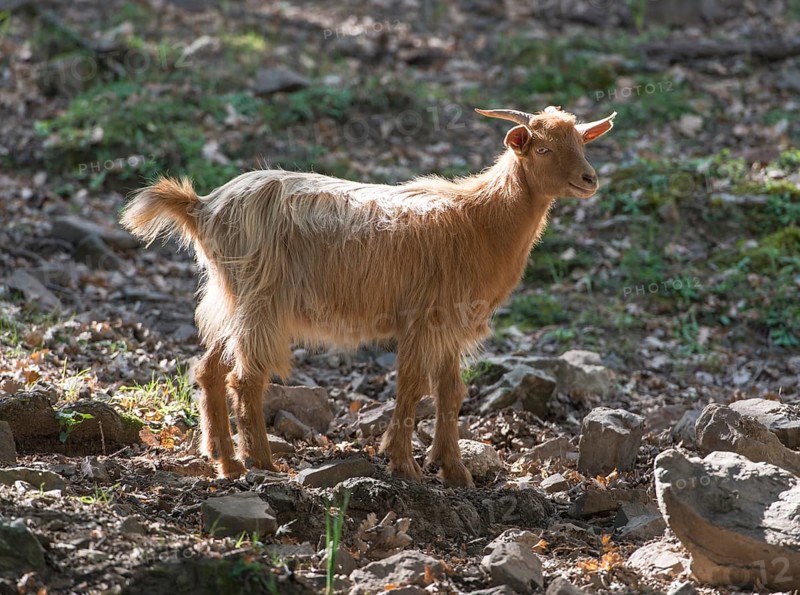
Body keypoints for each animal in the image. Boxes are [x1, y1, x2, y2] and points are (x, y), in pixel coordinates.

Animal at [121, 105, 616, 487]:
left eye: (582, 143)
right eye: (543, 148)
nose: (589, 179)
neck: (478, 219)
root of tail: (204, 207)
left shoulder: (452, 324)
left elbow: (450, 392)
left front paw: (453, 469)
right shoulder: (425, 316)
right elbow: (412, 387)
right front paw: (404, 465)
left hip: (233, 299)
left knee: (208, 368)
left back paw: (224, 460)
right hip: (263, 300)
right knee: (246, 378)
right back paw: (261, 463)